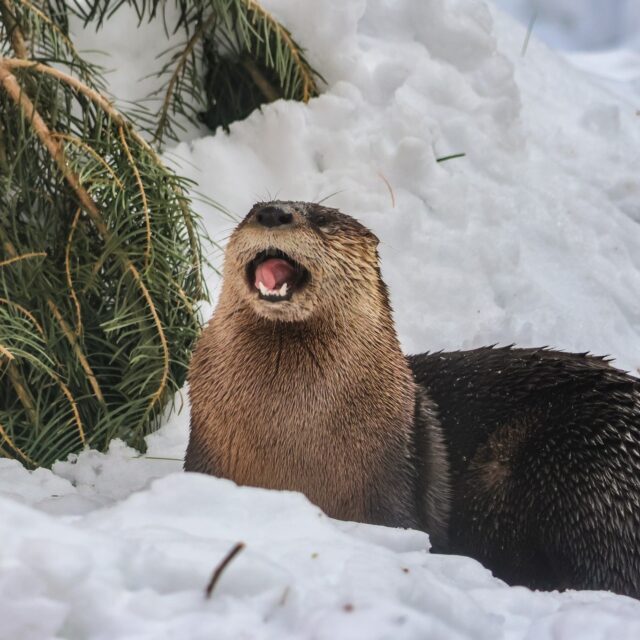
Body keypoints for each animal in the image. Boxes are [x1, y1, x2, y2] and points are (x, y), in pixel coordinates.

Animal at [186, 200, 640, 598]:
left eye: (322, 218)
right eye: (251, 210)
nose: (272, 213)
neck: (289, 446)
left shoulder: (393, 492)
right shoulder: (204, 462)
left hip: (582, 467)